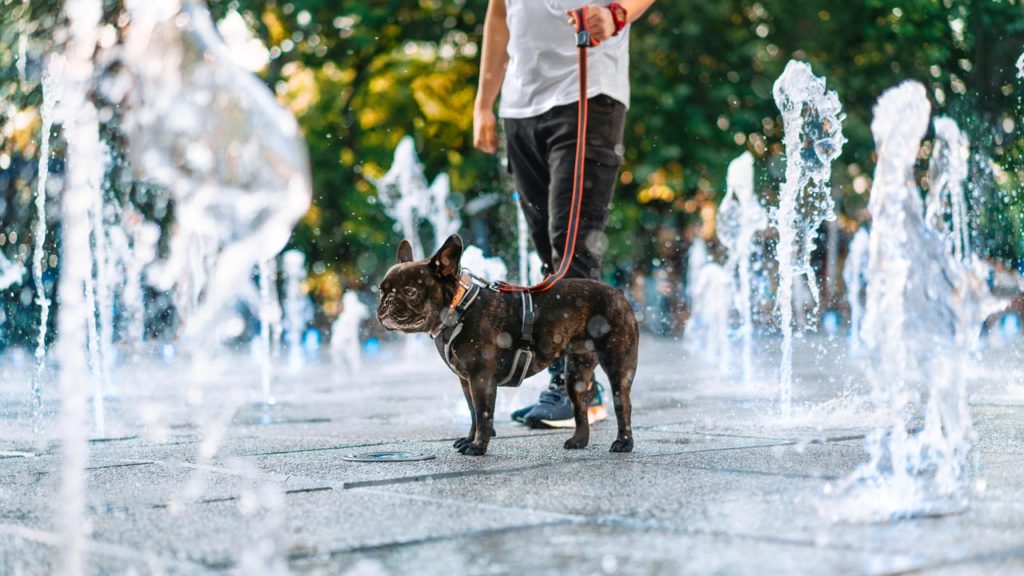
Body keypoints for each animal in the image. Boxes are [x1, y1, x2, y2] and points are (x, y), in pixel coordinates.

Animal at [376, 233, 634, 453]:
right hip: (575, 372)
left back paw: (623, 443)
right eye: (380, 290)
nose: (386, 302)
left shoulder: (481, 379)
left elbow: (483, 413)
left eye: (410, 291)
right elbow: (472, 411)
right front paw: (469, 439)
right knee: (580, 405)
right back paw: (579, 441)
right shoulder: (466, 381)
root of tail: (619, 293)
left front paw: (478, 447)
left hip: (617, 364)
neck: (458, 308)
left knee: (622, 404)